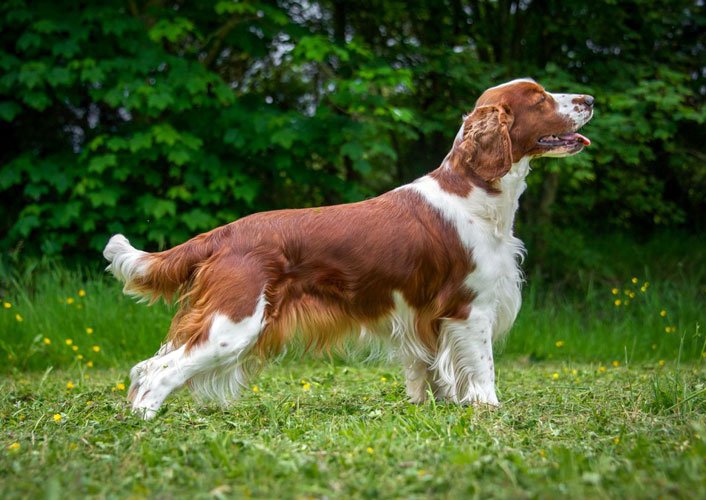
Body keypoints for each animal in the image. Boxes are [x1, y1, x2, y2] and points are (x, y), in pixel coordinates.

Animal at [103, 78, 588, 418]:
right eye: (540, 99)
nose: (589, 99)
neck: (475, 193)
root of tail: (222, 234)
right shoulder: (472, 308)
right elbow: (483, 369)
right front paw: (489, 410)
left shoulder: (429, 316)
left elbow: (436, 370)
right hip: (233, 323)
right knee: (159, 370)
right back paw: (144, 419)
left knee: (149, 365)